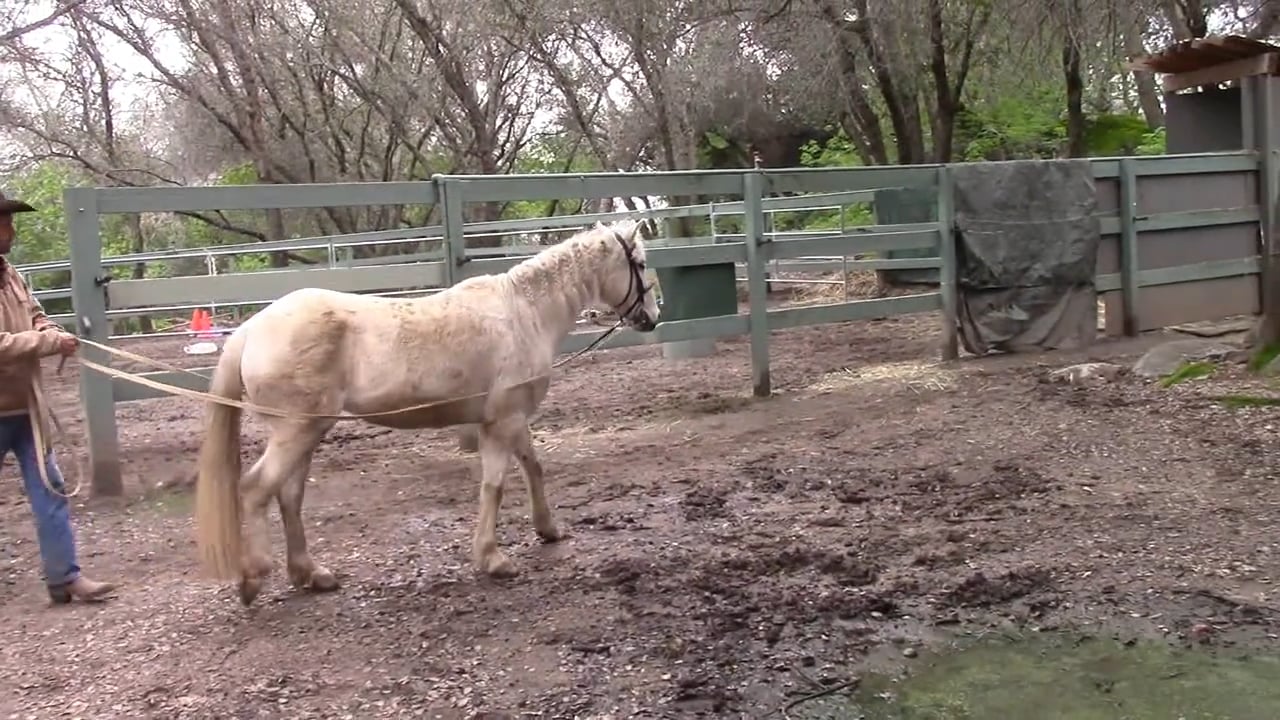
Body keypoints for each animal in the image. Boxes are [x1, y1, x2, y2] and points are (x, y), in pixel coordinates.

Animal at [193, 218, 660, 606]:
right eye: (639, 262)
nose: (652, 318)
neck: (523, 313)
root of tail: (251, 329)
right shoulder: (502, 422)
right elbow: (494, 486)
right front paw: (493, 558)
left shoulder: (511, 419)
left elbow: (533, 467)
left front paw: (548, 529)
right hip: (296, 432)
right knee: (257, 489)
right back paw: (254, 577)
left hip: (306, 433)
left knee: (288, 496)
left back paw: (311, 574)